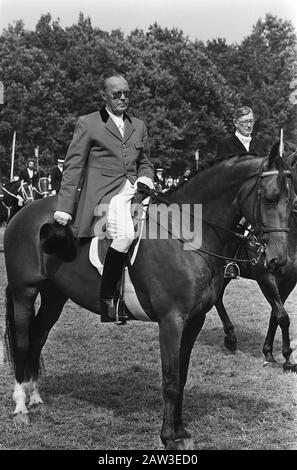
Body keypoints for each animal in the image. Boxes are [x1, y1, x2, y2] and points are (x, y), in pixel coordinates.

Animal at [3, 152, 294, 450]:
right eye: (270, 198)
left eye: (291, 199)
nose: (278, 260)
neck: (187, 234)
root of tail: (24, 212)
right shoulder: (171, 321)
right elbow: (171, 380)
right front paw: (168, 437)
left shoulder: (194, 321)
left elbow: (182, 375)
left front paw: (180, 430)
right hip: (25, 293)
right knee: (23, 341)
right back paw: (21, 406)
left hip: (55, 296)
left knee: (38, 336)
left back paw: (34, 396)